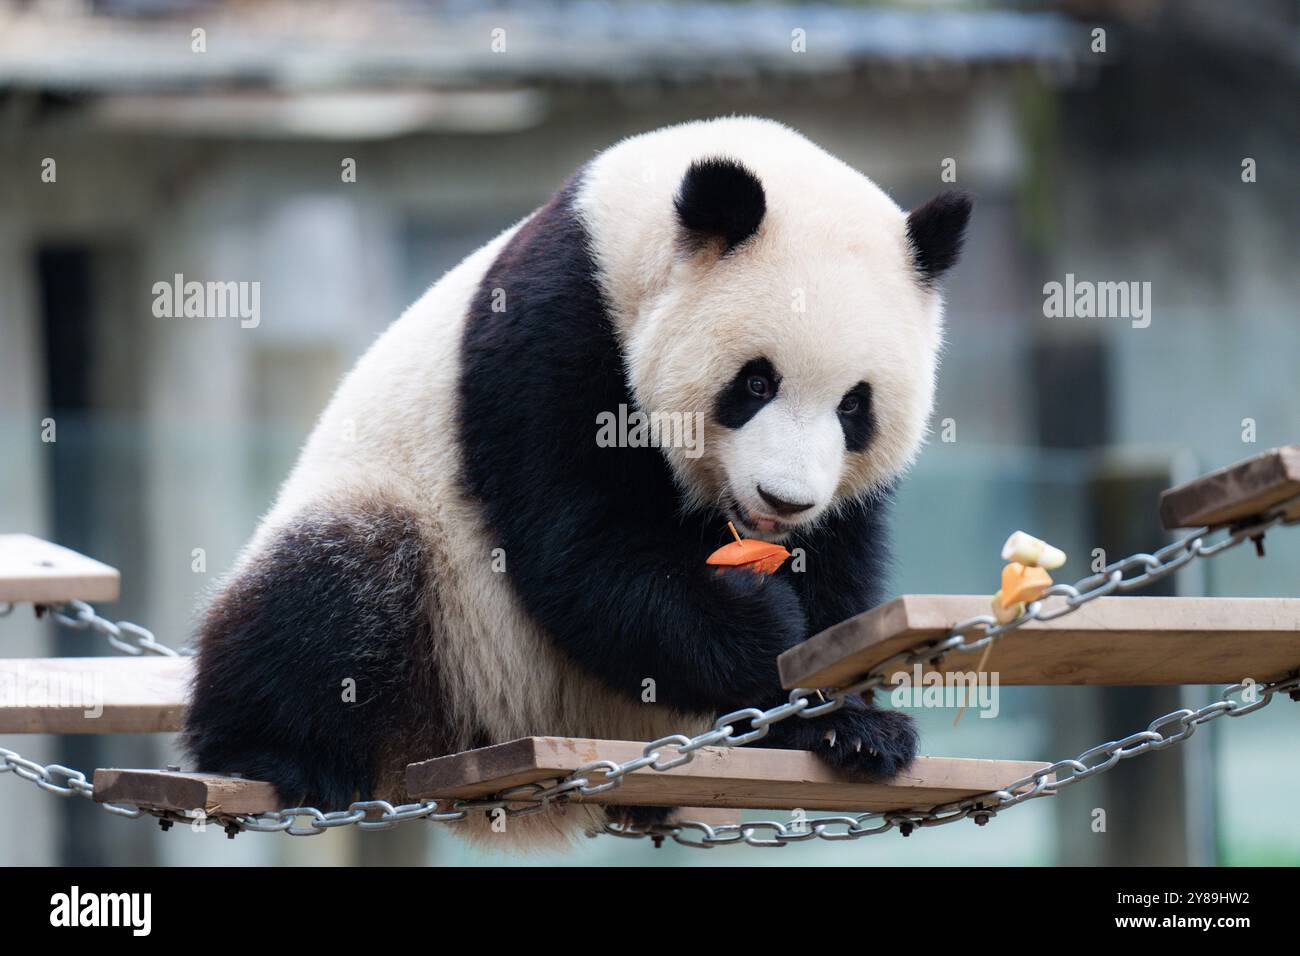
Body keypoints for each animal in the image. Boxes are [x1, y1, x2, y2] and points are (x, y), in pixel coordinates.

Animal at [188, 117, 972, 842]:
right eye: (755, 382)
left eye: (854, 405)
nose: (782, 502)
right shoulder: (552, 327)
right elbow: (576, 549)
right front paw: (763, 622)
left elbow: (839, 570)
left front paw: (846, 725)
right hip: (424, 572)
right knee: (332, 582)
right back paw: (277, 756)